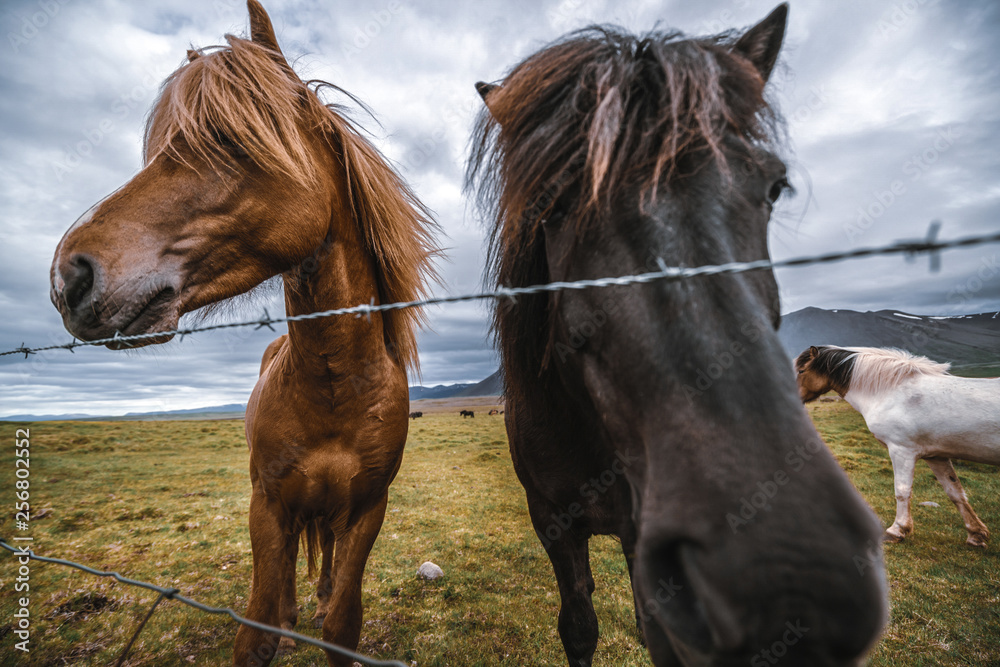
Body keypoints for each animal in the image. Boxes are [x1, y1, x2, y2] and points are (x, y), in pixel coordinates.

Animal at [47, 2, 438, 664]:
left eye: (229, 138)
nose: (69, 275)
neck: (336, 390)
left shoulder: (367, 509)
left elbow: (342, 624)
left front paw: (328, 610)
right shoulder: (268, 505)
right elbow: (256, 631)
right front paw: (280, 618)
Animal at [464, 5, 888, 667]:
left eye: (774, 188)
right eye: (551, 202)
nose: (791, 576)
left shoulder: (644, 538)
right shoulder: (552, 521)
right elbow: (578, 623)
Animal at [792, 344, 996, 548]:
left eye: (801, 371)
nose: (793, 399)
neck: (892, 392)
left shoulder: (901, 450)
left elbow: (902, 491)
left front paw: (897, 530)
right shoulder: (936, 456)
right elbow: (955, 492)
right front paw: (976, 534)